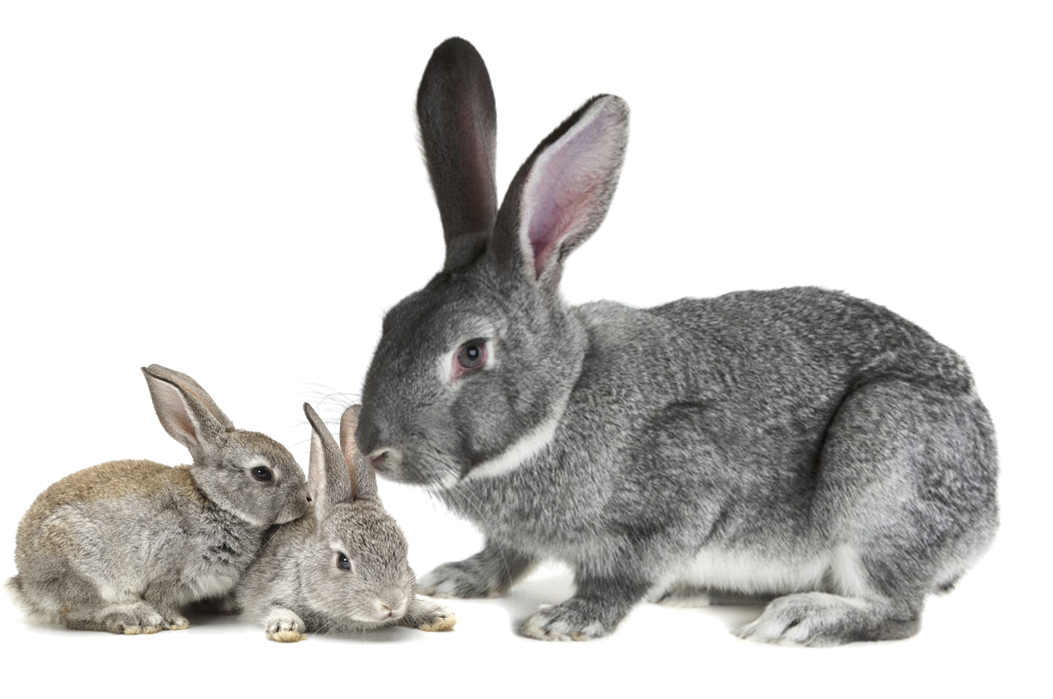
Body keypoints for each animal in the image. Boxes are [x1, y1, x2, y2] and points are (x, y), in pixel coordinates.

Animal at [7, 364, 311, 636]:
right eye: (262, 473)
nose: (306, 499)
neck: (216, 501)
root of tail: (29, 579)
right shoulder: (169, 568)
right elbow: (160, 597)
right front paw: (174, 621)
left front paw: (227, 607)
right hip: (82, 572)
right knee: (77, 612)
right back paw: (135, 618)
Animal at [352, 36, 1002, 649]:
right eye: (393, 321)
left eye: (471, 353)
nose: (374, 450)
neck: (561, 403)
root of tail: (982, 502)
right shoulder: (517, 539)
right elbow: (505, 558)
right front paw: (456, 579)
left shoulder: (681, 495)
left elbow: (630, 572)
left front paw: (569, 619)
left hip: (884, 460)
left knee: (894, 604)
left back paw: (804, 616)